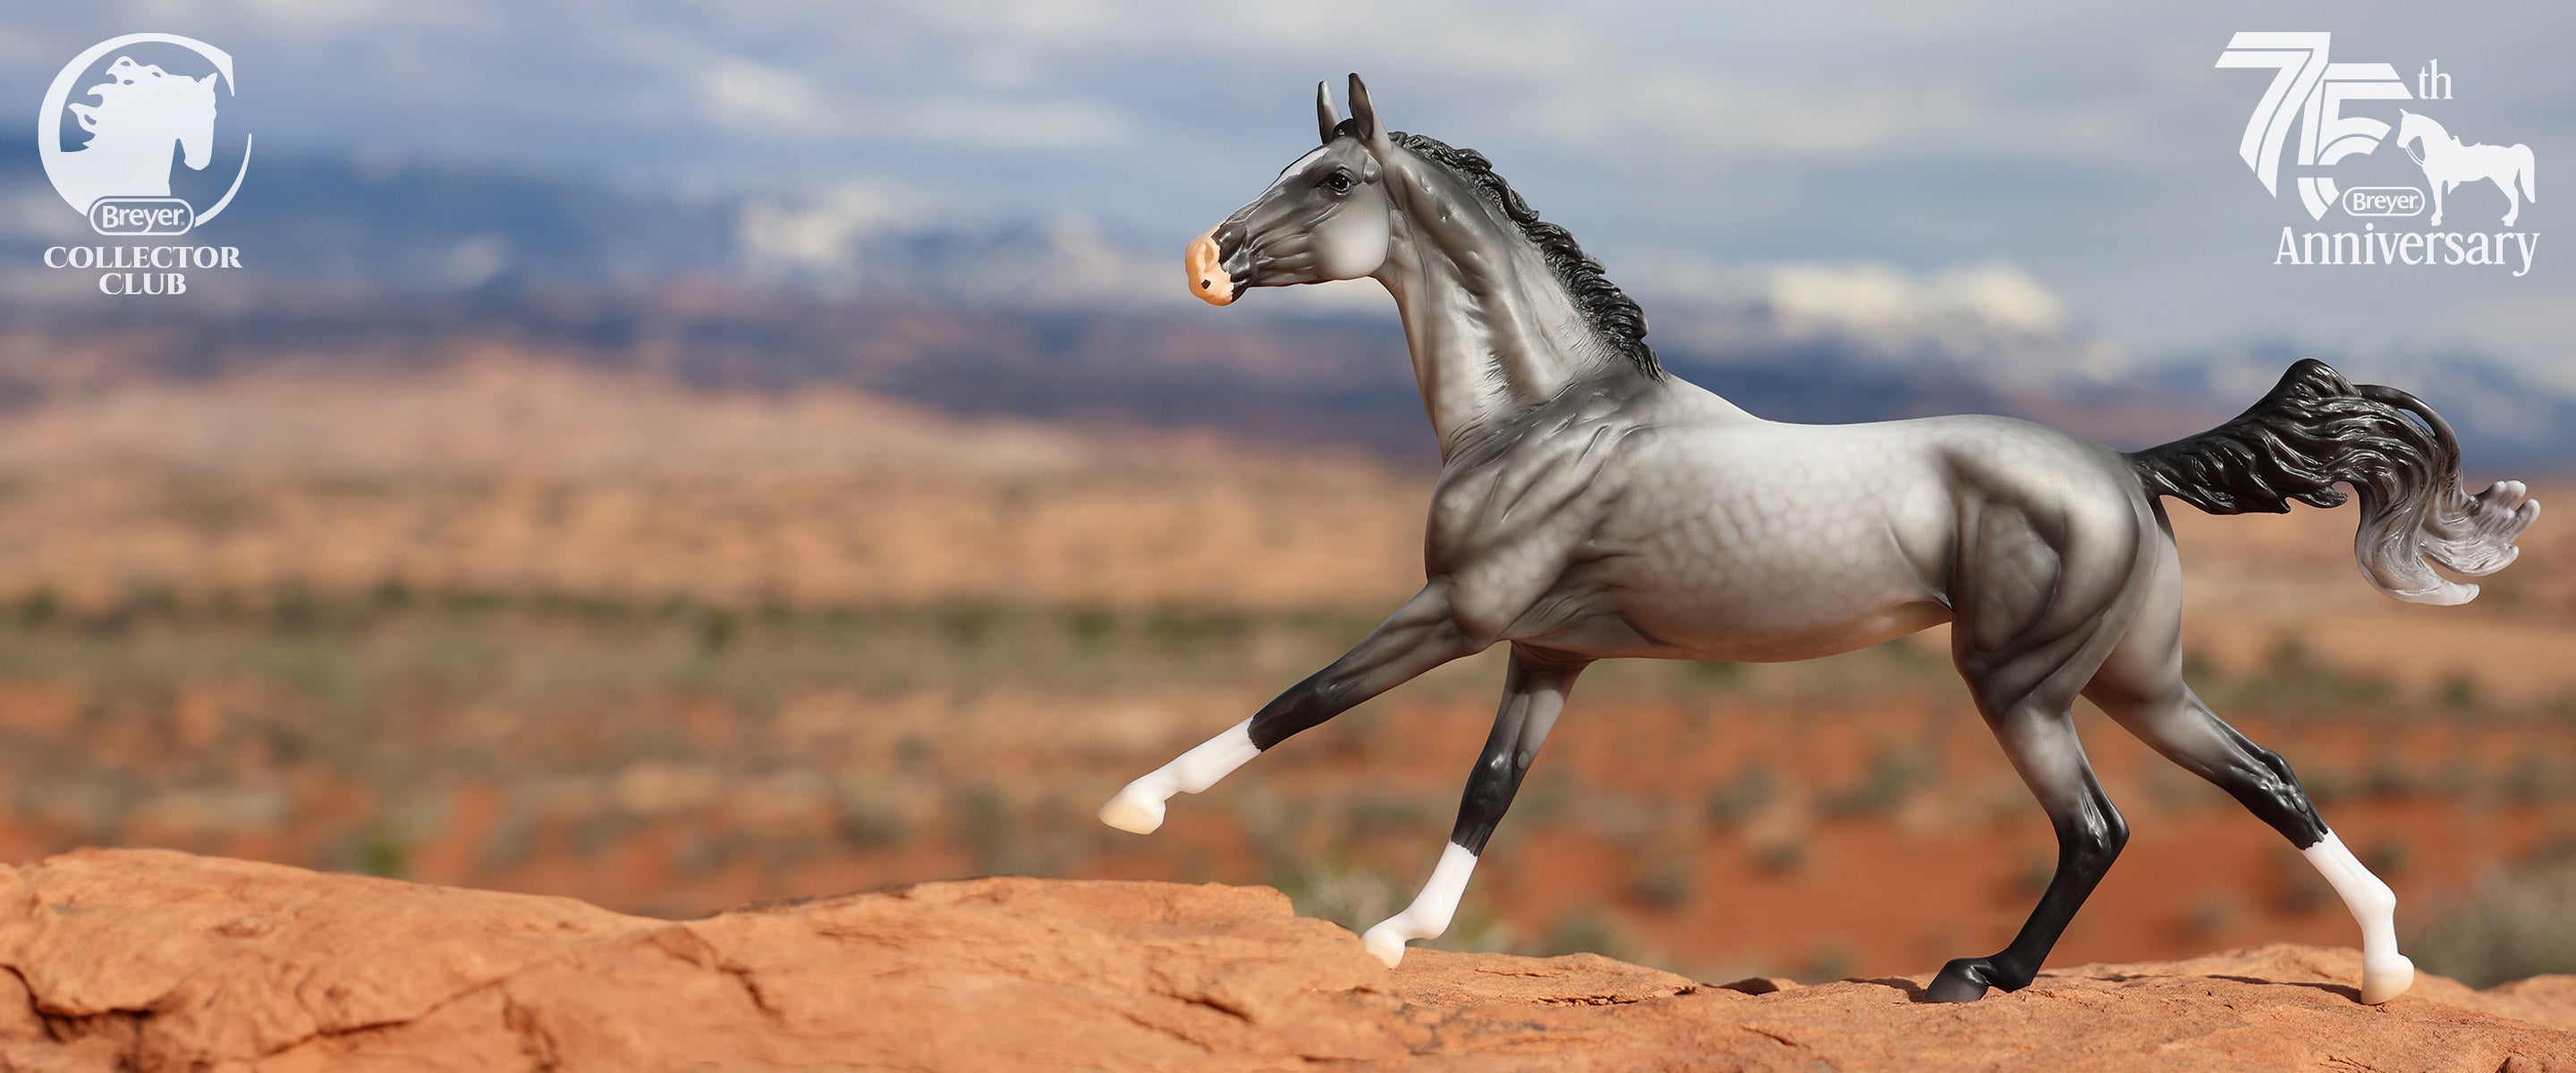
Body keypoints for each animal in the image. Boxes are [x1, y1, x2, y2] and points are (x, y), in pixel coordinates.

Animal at [2397, 109, 2538, 227]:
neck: (2440, 150)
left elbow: (2437, 197)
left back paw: (2510, 219)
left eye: (2408, 126)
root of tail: (2511, 151)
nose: (2399, 143)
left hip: (2503, 181)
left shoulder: (2436, 180)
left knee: (2514, 194)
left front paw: (2436, 218)